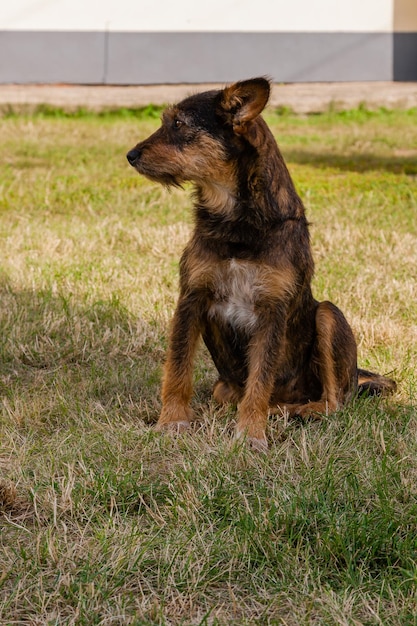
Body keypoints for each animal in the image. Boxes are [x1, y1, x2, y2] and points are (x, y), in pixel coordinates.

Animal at [127, 77, 396, 448]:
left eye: (179, 124)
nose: (130, 155)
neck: (236, 220)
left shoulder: (272, 311)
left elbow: (259, 380)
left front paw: (251, 434)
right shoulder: (191, 299)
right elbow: (178, 368)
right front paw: (172, 421)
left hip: (328, 315)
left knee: (333, 402)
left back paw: (295, 411)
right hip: (225, 385)